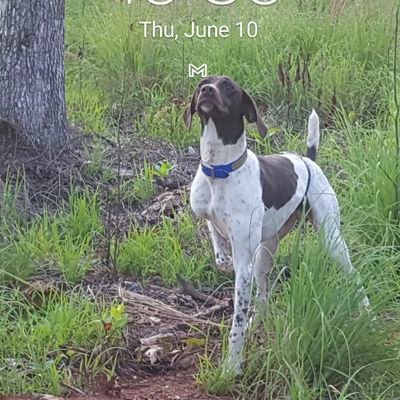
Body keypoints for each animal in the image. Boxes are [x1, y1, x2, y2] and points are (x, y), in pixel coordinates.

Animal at [184, 75, 368, 376]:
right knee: (263, 300)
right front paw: (221, 255)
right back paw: (254, 323)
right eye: (203, 84)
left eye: (228, 87)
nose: (206, 91)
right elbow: (214, 234)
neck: (220, 169)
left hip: (331, 240)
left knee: (353, 276)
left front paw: (232, 366)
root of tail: (308, 159)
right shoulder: (206, 213)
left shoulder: (244, 268)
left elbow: (235, 324)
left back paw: (367, 312)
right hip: (264, 255)